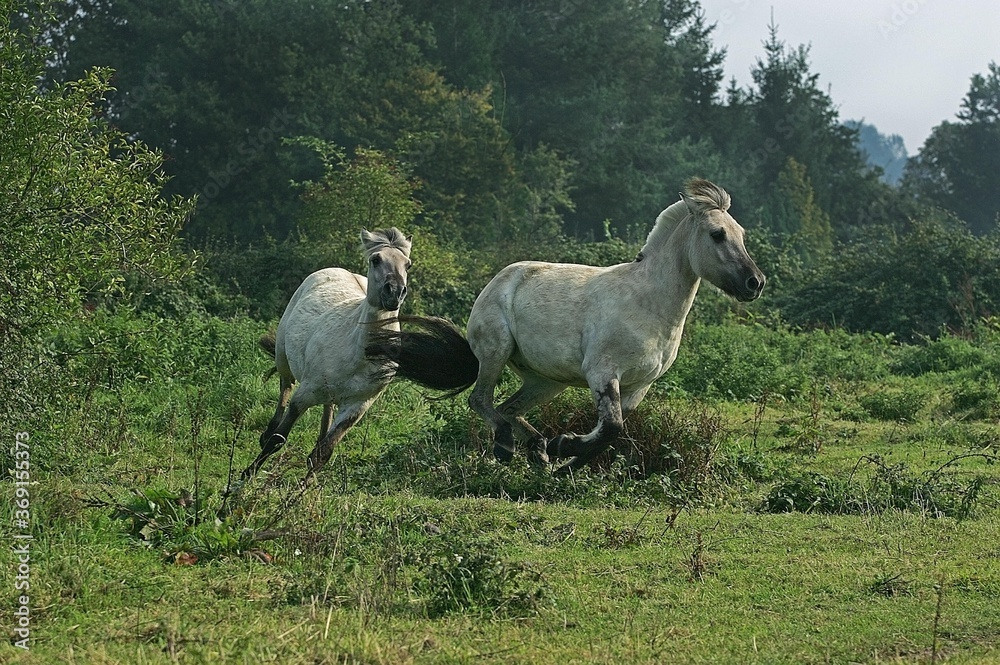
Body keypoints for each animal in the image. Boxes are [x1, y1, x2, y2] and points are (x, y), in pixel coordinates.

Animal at [238, 227, 413, 485]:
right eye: (376, 259)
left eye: (407, 264)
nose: (395, 293)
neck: (358, 354)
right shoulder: (305, 394)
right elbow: (278, 439)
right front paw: (244, 478)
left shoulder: (356, 407)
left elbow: (323, 453)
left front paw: (306, 486)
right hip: (283, 359)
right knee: (285, 387)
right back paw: (267, 431)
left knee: (326, 414)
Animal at [367, 179, 765, 472]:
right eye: (717, 234)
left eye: (741, 234)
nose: (755, 283)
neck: (647, 302)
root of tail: (497, 282)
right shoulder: (602, 373)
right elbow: (611, 428)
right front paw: (563, 448)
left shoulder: (638, 387)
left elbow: (612, 433)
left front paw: (563, 459)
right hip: (496, 353)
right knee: (481, 400)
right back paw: (509, 446)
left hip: (546, 381)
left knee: (509, 408)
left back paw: (537, 449)